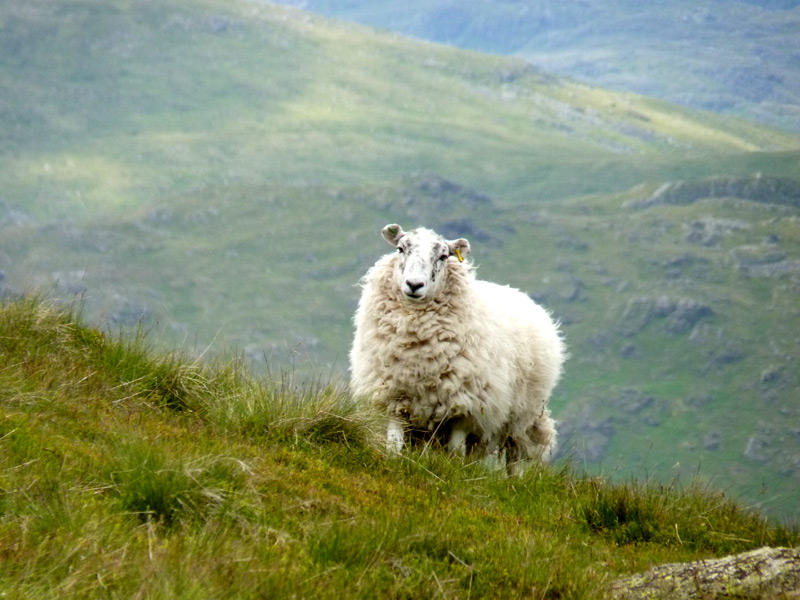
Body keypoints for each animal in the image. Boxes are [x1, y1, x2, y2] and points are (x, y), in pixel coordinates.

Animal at [349, 223, 566, 473]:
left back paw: (515, 479)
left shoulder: (464, 407)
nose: (414, 285)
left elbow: (455, 453)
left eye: (443, 256)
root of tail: (520, 294)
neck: (418, 349)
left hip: (523, 411)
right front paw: (392, 463)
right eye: (400, 249)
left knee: (516, 454)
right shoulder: (394, 398)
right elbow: (393, 444)